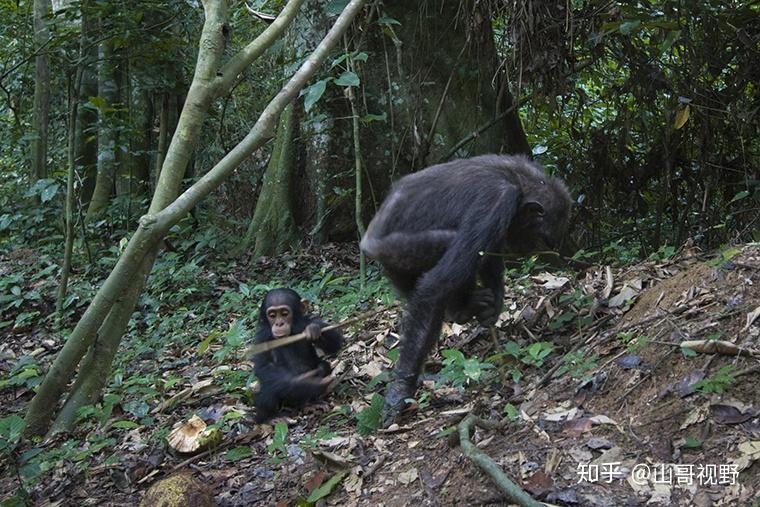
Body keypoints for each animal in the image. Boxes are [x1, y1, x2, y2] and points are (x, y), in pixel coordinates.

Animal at [251, 288, 342, 422]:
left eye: (284, 313)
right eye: (272, 315)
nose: (279, 323)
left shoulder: (311, 320)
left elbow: (334, 344)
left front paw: (313, 329)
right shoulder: (262, 337)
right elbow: (264, 366)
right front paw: (305, 384)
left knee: (323, 366)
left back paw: (313, 403)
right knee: (269, 386)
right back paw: (270, 418)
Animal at [360, 155, 568, 424]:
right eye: (545, 238)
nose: (540, 251)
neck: (521, 183)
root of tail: (368, 242)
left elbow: (490, 252)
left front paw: (493, 308)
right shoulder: (497, 201)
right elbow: (438, 283)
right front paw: (400, 390)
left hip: (395, 267)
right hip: (397, 249)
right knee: (450, 253)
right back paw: (461, 309)